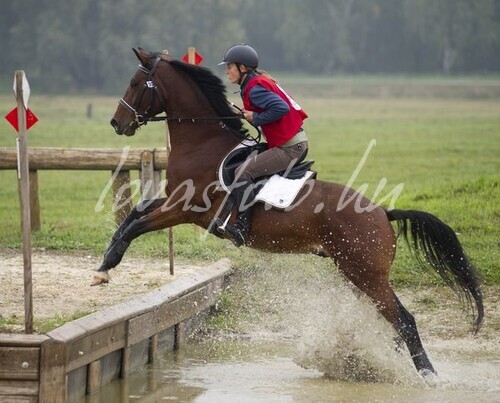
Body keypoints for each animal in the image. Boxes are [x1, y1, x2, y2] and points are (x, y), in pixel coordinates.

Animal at [99, 48, 483, 378]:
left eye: (135, 83)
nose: (116, 123)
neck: (202, 142)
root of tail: (382, 213)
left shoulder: (183, 208)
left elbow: (136, 225)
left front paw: (107, 267)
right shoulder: (172, 202)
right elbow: (133, 215)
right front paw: (104, 264)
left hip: (366, 274)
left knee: (404, 319)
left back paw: (428, 376)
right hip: (357, 273)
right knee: (389, 321)